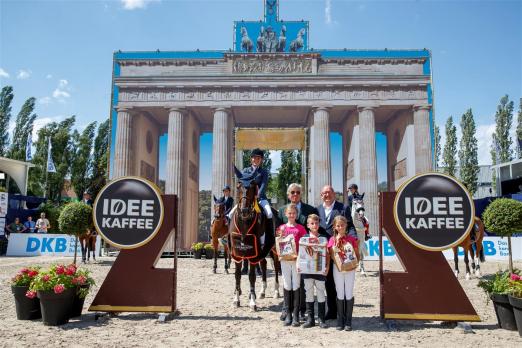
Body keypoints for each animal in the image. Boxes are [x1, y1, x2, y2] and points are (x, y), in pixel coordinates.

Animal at [231, 178, 280, 308]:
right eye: (238, 188)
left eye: (253, 189)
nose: (244, 210)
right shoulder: (238, 253)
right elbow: (237, 275)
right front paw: (236, 299)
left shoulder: (253, 253)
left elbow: (251, 276)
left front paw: (252, 301)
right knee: (264, 264)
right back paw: (262, 292)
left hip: (274, 249)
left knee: (276, 267)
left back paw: (276, 291)